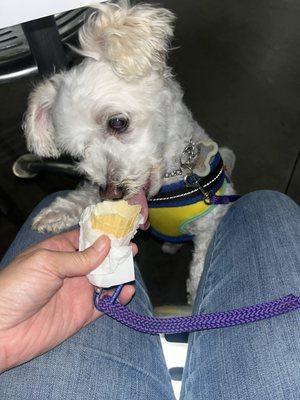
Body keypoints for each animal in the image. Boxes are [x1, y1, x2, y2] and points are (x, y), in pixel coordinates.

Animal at [23, 0, 236, 304]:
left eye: (117, 122)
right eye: (77, 153)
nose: (110, 193)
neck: (172, 179)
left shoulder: (210, 226)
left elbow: (201, 265)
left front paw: (198, 297)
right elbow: (84, 197)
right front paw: (57, 212)